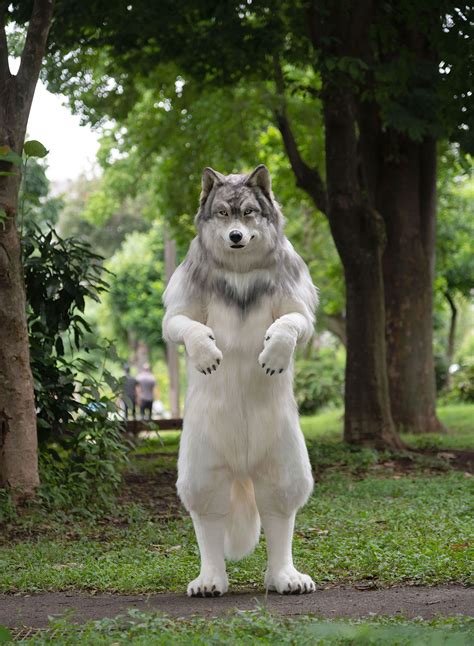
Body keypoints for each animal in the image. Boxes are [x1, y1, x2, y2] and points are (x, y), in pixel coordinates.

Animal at [163, 165, 318, 597]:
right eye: (222, 214)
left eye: (248, 213)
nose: (235, 236)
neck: (240, 271)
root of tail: (242, 466)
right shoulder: (183, 300)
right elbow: (182, 324)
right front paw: (204, 351)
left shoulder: (295, 298)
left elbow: (292, 322)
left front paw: (276, 350)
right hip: (202, 462)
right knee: (209, 513)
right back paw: (211, 579)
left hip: (283, 455)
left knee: (278, 507)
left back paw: (284, 576)